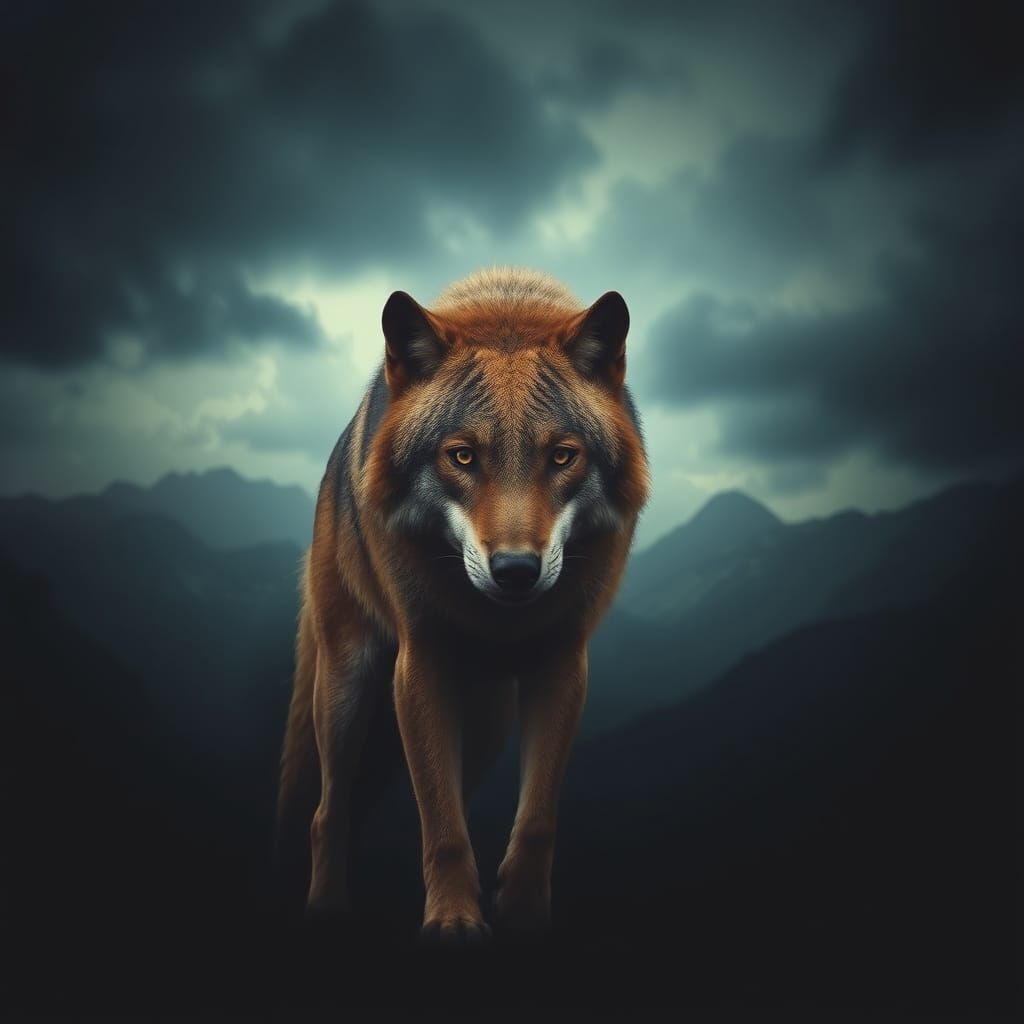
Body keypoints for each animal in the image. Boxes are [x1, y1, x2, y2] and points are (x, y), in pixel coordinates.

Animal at [277, 267, 649, 944]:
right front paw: (452, 920)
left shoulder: (563, 663)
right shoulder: (419, 662)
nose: (516, 571)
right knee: (327, 811)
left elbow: (532, 821)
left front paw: (522, 918)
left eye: (562, 455)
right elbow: (441, 824)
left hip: (489, 723)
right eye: (462, 456)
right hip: (347, 687)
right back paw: (326, 910)